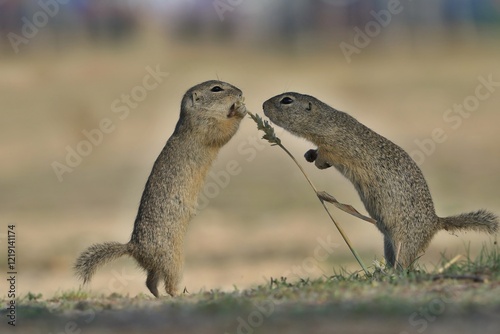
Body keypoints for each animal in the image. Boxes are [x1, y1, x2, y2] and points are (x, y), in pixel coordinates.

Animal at [74, 81, 246, 298]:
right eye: (216, 89)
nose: (240, 93)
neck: (193, 115)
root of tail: (133, 247)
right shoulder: (207, 127)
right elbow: (225, 131)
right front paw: (241, 110)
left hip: (156, 266)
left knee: (149, 282)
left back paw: (158, 296)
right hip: (173, 261)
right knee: (168, 283)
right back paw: (179, 295)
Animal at [264, 92, 498, 268]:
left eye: (287, 100)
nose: (263, 104)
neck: (326, 122)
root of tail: (435, 222)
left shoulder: (339, 147)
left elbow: (328, 154)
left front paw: (318, 160)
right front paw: (309, 155)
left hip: (405, 240)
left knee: (406, 264)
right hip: (388, 243)